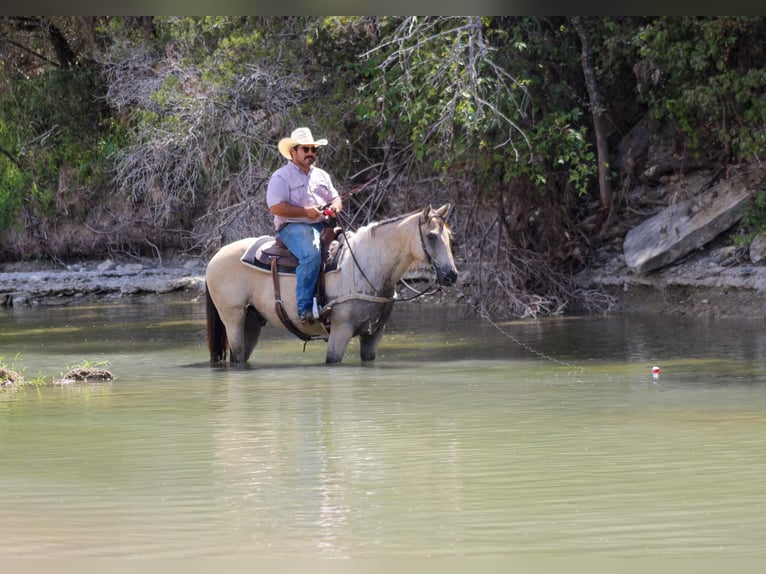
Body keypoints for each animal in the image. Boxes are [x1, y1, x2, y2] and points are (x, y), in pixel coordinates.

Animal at [205, 203, 458, 364]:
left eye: (449, 236)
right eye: (431, 236)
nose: (451, 276)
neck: (364, 267)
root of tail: (215, 256)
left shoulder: (374, 334)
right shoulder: (340, 329)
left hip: (252, 320)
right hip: (233, 317)